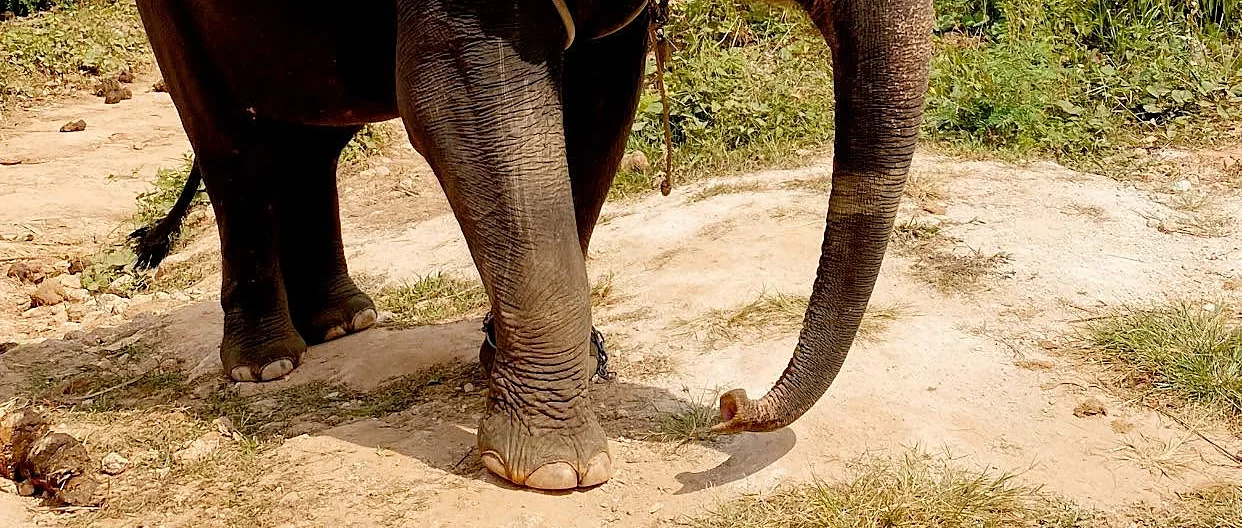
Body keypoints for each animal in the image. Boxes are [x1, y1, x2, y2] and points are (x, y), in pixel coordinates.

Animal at [132, 0, 933, 490]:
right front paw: (556, 473)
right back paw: (268, 363)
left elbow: (601, 103)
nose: (730, 403)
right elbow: (460, 103)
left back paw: (343, 322)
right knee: (232, 145)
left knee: (315, 135)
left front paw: (515, 361)